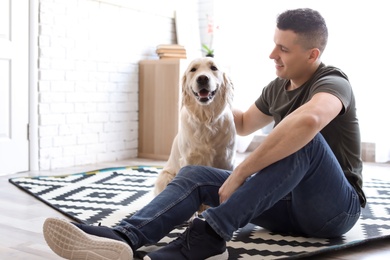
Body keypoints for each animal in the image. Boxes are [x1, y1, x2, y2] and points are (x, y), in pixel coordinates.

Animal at [154, 57, 236, 195]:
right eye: (193, 69)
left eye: (214, 68)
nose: (202, 78)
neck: (206, 120)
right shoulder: (189, 160)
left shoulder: (227, 160)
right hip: (165, 177)